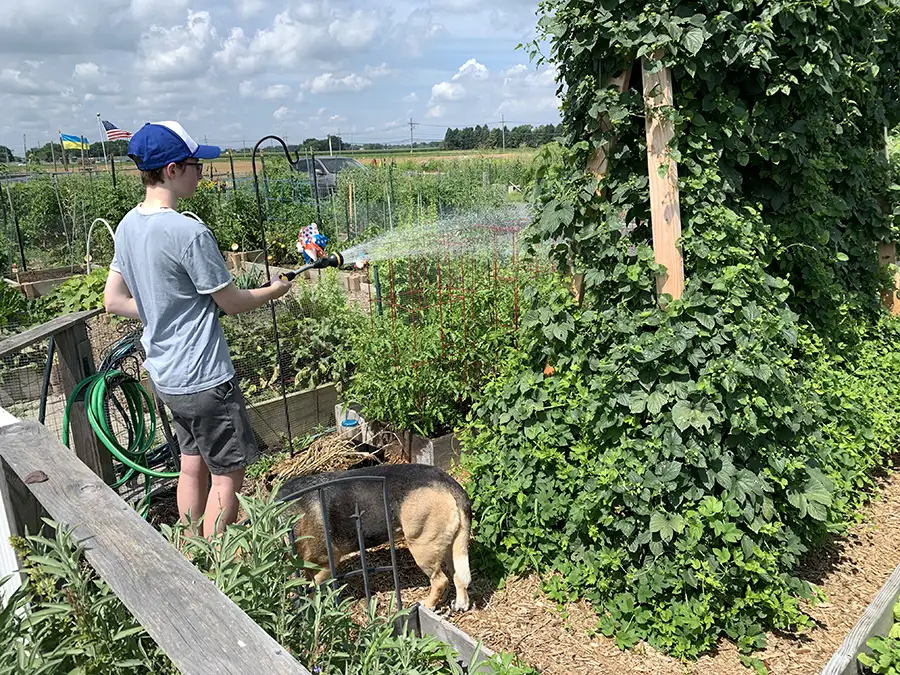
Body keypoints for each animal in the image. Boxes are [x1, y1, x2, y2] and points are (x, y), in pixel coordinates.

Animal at [272, 464, 472, 612]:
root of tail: (448, 483)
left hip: (422, 548)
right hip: (452, 547)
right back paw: (458, 603)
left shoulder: (327, 564)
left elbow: (312, 588)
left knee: (440, 581)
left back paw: (428, 604)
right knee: (457, 577)